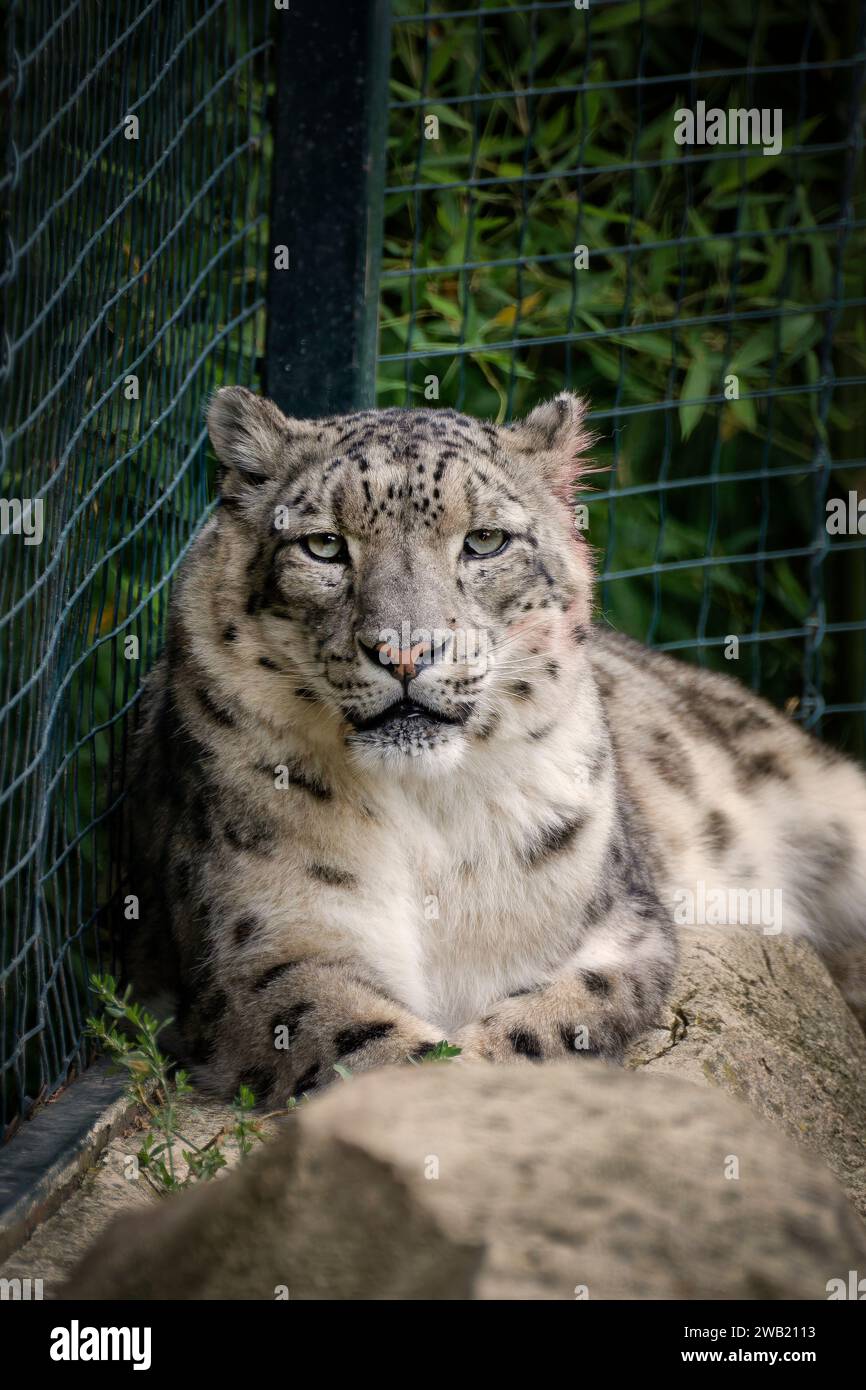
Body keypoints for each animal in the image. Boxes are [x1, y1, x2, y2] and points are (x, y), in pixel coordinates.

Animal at [123, 386, 866, 1100]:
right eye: (324, 545)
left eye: (484, 541)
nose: (405, 650)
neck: (425, 812)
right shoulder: (262, 946)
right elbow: (347, 1036)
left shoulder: (620, 926)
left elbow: (557, 1016)